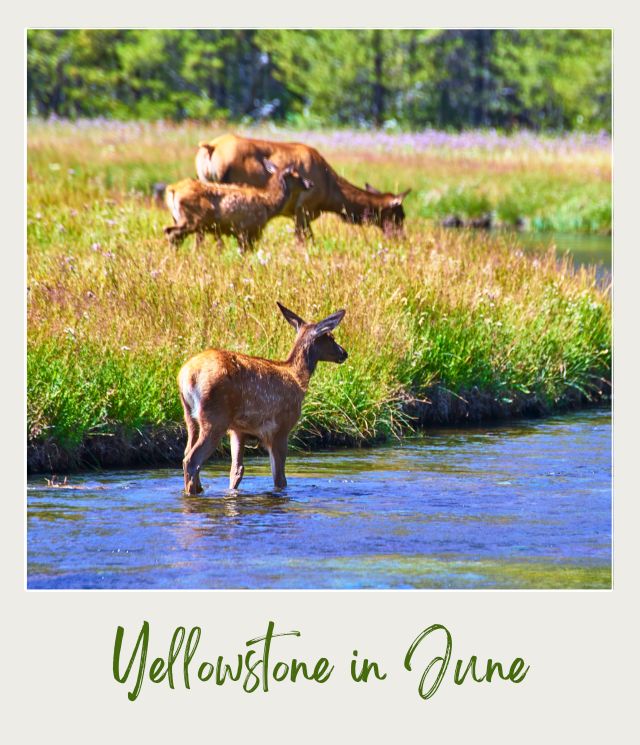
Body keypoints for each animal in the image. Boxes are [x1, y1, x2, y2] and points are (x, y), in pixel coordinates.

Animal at [164, 159, 313, 251]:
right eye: (297, 175)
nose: (310, 184)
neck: (268, 205)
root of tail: (172, 189)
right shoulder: (247, 228)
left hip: (178, 218)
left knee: (171, 233)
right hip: (192, 219)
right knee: (171, 233)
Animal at [177, 302, 348, 495]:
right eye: (331, 337)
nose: (344, 353)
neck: (297, 378)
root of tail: (188, 376)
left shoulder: (238, 429)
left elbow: (237, 470)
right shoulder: (281, 427)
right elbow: (279, 478)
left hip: (190, 416)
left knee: (187, 454)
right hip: (215, 417)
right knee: (192, 460)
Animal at [195, 133, 411, 241]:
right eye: (400, 215)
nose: (401, 239)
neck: (330, 195)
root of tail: (210, 148)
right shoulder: (304, 209)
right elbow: (305, 241)